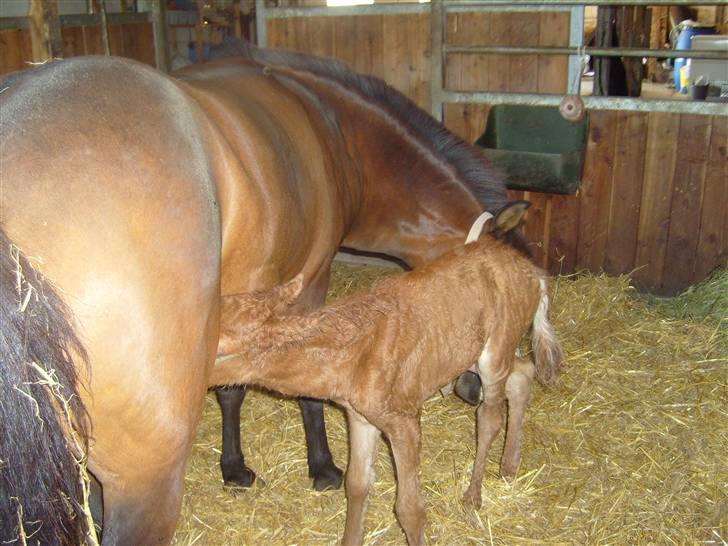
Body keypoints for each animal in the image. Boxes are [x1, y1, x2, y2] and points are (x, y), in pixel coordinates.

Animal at [0, 41, 524, 540]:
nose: (476, 388)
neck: (335, 133)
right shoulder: (309, 282)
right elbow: (291, 393)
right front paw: (320, 467)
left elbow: (234, 393)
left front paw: (233, 468)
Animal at [210, 205, 564, 544]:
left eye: (217, 346)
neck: (349, 360)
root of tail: (536, 274)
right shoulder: (360, 417)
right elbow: (356, 485)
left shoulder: (403, 418)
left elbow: (409, 508)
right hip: (473, 352)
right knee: (524, 372)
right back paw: (508, 468)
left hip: (495, 349)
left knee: (489, 415)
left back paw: (473, 495)